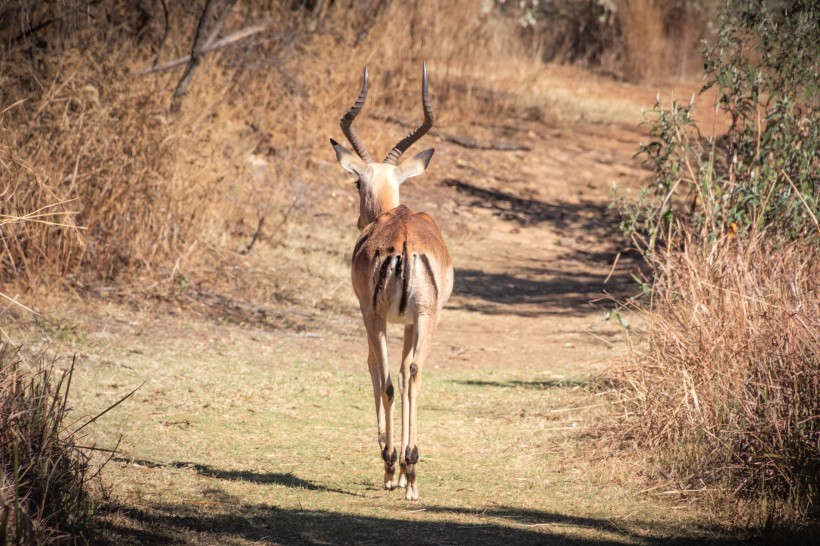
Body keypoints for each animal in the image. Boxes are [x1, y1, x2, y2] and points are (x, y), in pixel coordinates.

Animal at [328, 62, 454, 498]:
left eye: (356, 182)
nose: (358, 221)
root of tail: (403, 239)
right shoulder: (413, 321)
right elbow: (403, 370)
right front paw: (401, 470)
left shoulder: (369, 314)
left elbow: (374, 369)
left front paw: (390, 466)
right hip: (429, 318)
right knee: (413, 373)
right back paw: (411, 472)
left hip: (378, 318)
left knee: (385, 379)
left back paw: (392, 466)